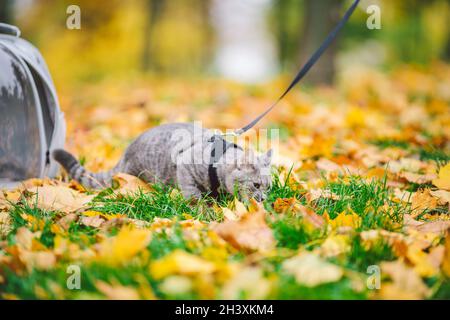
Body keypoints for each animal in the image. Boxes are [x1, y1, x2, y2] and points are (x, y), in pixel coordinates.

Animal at [51, 122, 270, 200]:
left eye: (269, 187)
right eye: (256, 185)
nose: (264, 199)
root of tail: (126, 152)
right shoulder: (185, 167)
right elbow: (192, 194)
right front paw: (203, 209)